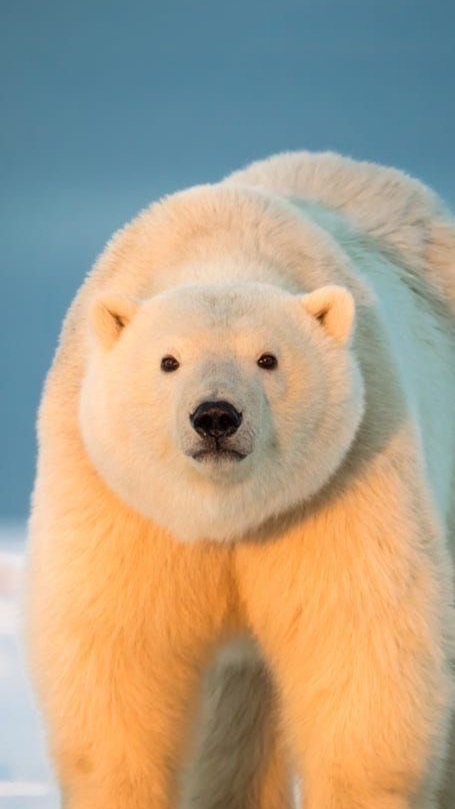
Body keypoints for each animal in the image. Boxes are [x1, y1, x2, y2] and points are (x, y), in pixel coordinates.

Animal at [24, 151, 455, 809]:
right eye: (168, 360)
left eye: (268, 358)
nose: (216, 417)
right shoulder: (118, 498)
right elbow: (118, 655)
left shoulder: (343, 479)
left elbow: (361, 643)